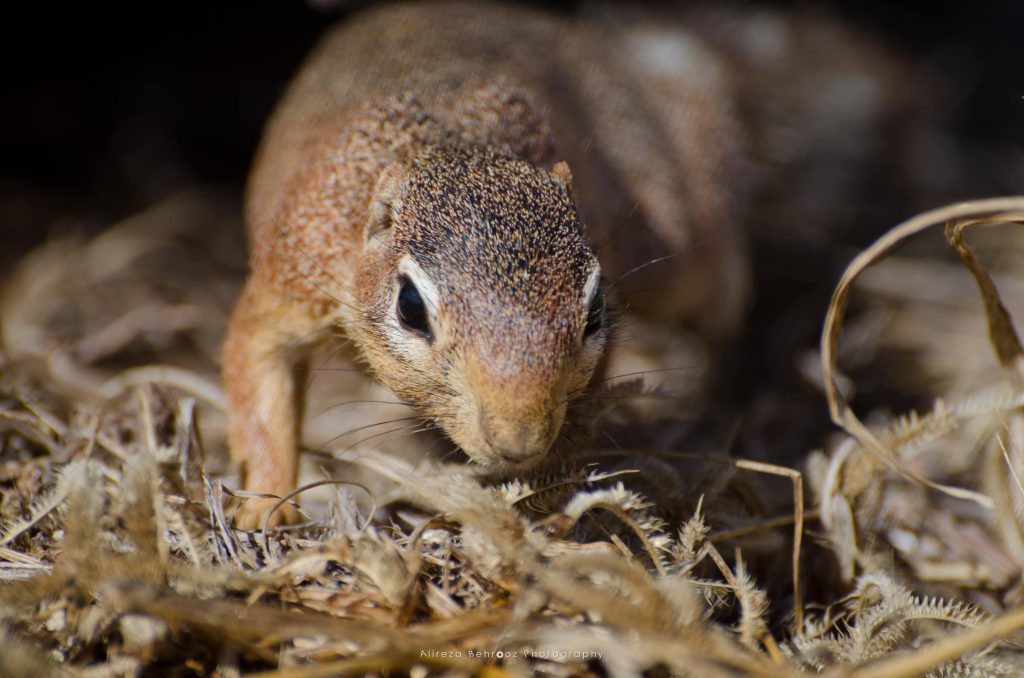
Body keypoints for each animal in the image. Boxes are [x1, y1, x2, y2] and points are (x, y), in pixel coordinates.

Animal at [224, 1, 913, 532]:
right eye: (410, 307)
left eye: (596, 310)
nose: (517, 440)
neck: (453, 146)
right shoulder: (295, 268)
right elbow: (256, 367)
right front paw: (266, 505)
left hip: (673, 230)